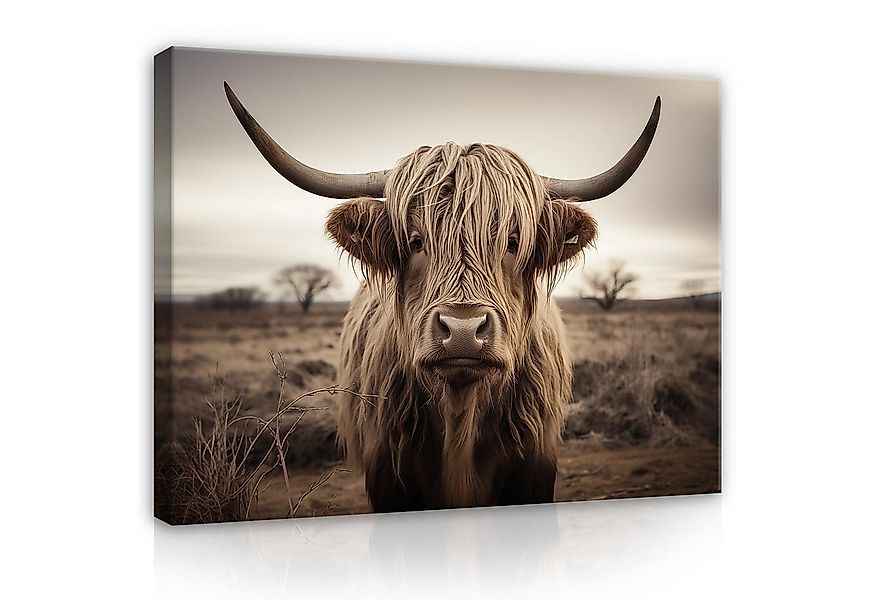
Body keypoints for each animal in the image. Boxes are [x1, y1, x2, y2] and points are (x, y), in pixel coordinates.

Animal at [224, 82, 660, 512]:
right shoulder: (388, 477)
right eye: (416, 241)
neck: (459, 417)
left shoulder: (534, 469)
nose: (463, 330)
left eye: (512, 242)